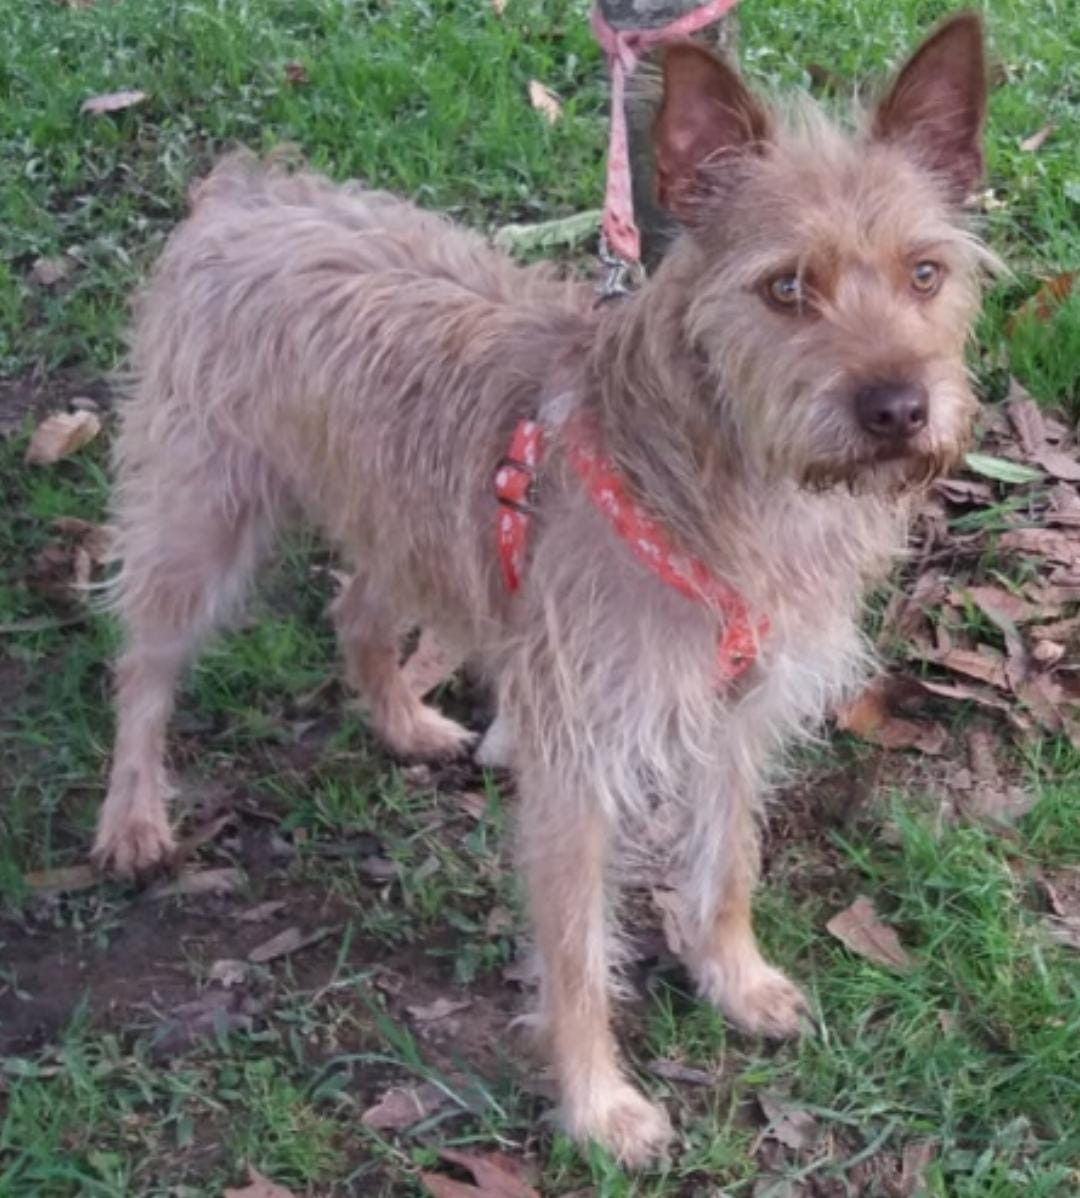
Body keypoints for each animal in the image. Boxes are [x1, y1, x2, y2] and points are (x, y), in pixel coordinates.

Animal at [93, 12, 991, 1164]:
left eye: (926, 272)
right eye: (787, 287)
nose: (899, 407)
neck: (716, 482)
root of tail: (249, 189)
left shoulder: (735, 718)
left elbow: (730, 861)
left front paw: (733, 978)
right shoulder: (579, 758)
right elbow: (575, 952)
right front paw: (599, 1106)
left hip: (411, 519)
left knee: (357, 607)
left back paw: (405, 722)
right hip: (200, 515)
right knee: (143, 664)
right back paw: (133, 815)